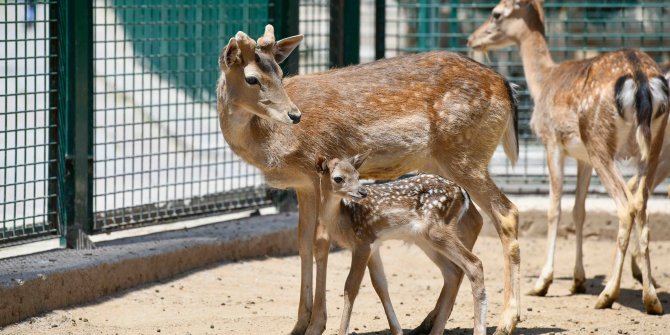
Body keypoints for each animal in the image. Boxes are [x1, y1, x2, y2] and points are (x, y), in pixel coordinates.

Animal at [318, 154, 486, 335]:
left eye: (357, 175)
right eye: (338, 178)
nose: (362, 192)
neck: (343, 220)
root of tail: (462, 192)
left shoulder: (362, 242)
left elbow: (351, 287)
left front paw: (343, 331)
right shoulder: (373, 245)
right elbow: (380, 284)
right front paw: (397, 330)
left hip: (436, 230)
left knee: (474, 263)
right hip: (424, 239)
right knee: (452, 271)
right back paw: (435, 331)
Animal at [470, 0, 668, 316]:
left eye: (496, 14)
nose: (472, 39)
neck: (543, 82)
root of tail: (640, 78)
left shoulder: (552, 142)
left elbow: (555, 208)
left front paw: (542, 282)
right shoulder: (582, 157)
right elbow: (579, 209)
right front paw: (578, 280)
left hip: (599, 141)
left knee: (625, 206)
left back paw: (608, 294)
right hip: (653, 145)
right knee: (641, 204)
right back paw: (651, 298)